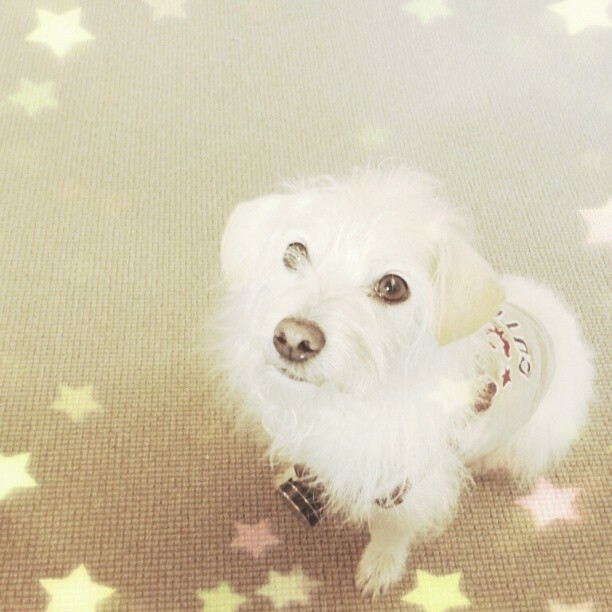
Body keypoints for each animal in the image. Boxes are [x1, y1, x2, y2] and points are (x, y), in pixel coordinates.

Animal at [213, 168, 594, 597]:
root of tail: (562, 325)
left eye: (393, 287)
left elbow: (392, 529)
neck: (347, 399)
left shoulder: (402, 487)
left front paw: (380, 567)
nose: (294, 339)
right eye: (294, 252)